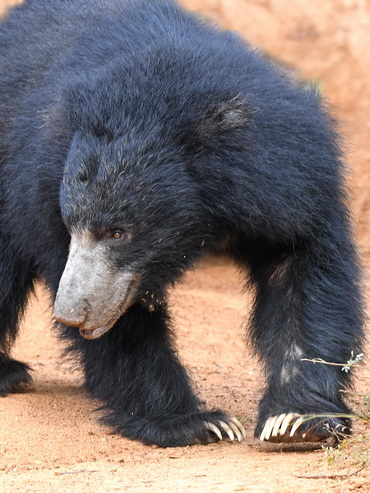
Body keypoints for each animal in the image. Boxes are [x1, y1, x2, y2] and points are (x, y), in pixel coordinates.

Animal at [0, 0, 364, 446]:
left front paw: (296, 420)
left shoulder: (292, 182)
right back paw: (10, 373)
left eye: (119, 233)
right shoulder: (40, 184)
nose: (71, 314)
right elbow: (125, 329)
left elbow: (303, 274)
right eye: (73, 227)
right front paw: (195, 421)